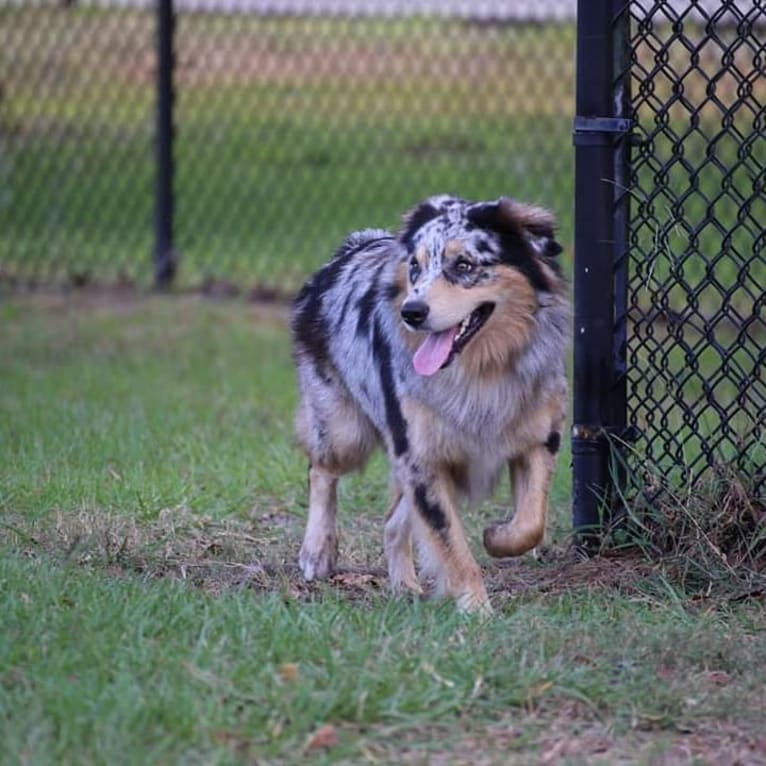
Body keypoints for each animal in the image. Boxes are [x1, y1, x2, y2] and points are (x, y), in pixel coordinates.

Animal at [292, 195, 568, 616]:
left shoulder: (539, 438)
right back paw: (318, 551)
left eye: (464, 265)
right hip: (345, 433)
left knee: (391, 522)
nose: (411, 312)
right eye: (415, 267)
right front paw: (477, 612)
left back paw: (404, 587)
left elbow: (530, 523)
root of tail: (351, 247)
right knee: (321, 470)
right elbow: (453, 547)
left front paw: (496, 537)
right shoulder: (423, 458)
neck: (482, 374)